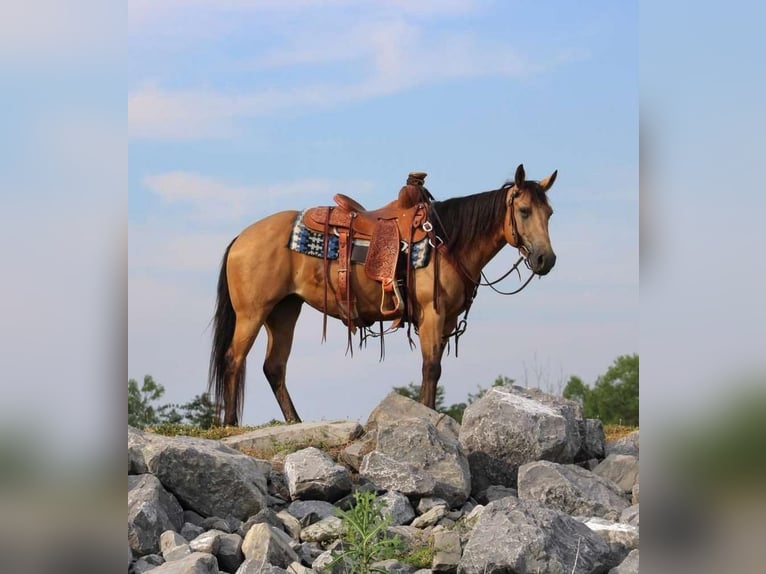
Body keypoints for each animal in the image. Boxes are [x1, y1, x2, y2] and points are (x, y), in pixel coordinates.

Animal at [210, 164, 560, 426]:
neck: (447, 242)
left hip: (283, 311)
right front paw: (429, 417)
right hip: (252, 312)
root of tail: (242, 238)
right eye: (524, 211)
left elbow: (434, 370)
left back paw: (295, 422)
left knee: (274, 367)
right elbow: (431, 369)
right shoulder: (432, 314)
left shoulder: (447, 320)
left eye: (550, 213)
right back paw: (230, 424)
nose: (546, 260)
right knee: (233, 358)